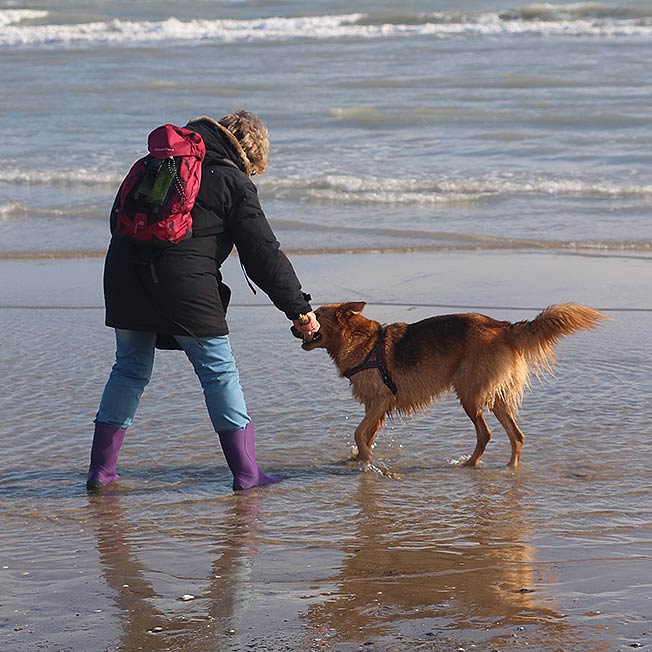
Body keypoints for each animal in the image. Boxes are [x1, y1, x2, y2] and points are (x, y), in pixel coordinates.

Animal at [296, 304, 608, 466]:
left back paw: (471, 463)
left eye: (315, 316)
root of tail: (503, 327)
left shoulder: (380, 400)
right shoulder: (377, 407)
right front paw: (360, 459)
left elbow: (360, 433)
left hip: (469, 394)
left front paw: (365, 461)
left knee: (486, 434)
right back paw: (510, 468)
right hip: (496, 398)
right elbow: (367, 434)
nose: (291, 326)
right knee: (516, 435)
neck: (362, 341)